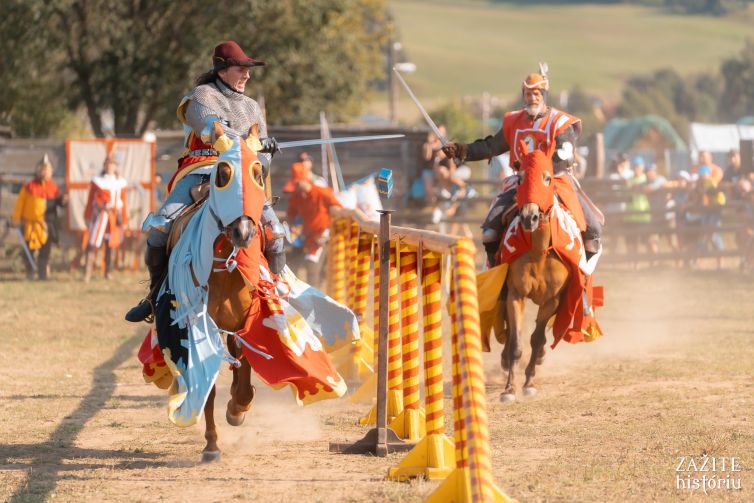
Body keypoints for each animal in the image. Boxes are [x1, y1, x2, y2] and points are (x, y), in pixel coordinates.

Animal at [496, 141, 568, 402]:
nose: (529, 217)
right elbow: (517, 343)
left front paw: (529, 382)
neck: (539, 253)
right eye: (520, 179)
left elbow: (536, 339)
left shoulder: (553, 300)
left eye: (547, 178)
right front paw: (509, 388)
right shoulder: (515, 295)